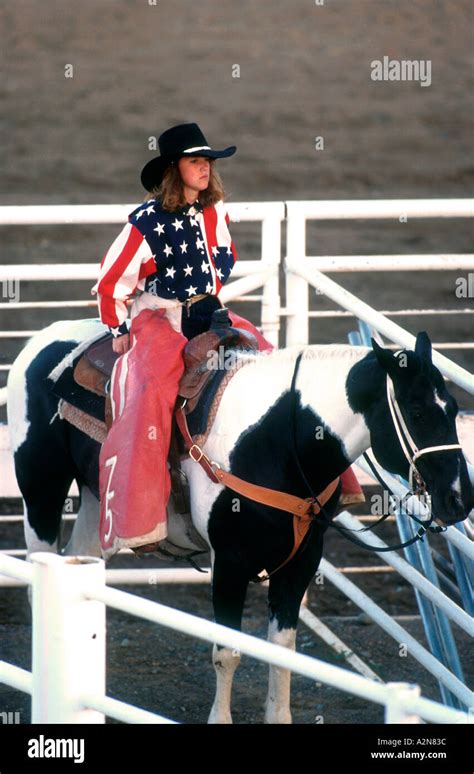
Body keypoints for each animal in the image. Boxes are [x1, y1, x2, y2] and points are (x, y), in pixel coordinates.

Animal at [5, 318, 472, 724]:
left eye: (453, 408)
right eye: (416, 410)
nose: (459, 498)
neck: (276, 437)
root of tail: (43, 338)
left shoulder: (303, 559)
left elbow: (282, 649)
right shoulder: (229, 563)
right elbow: (227, 651)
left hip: (92, 494)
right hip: (41, 489)